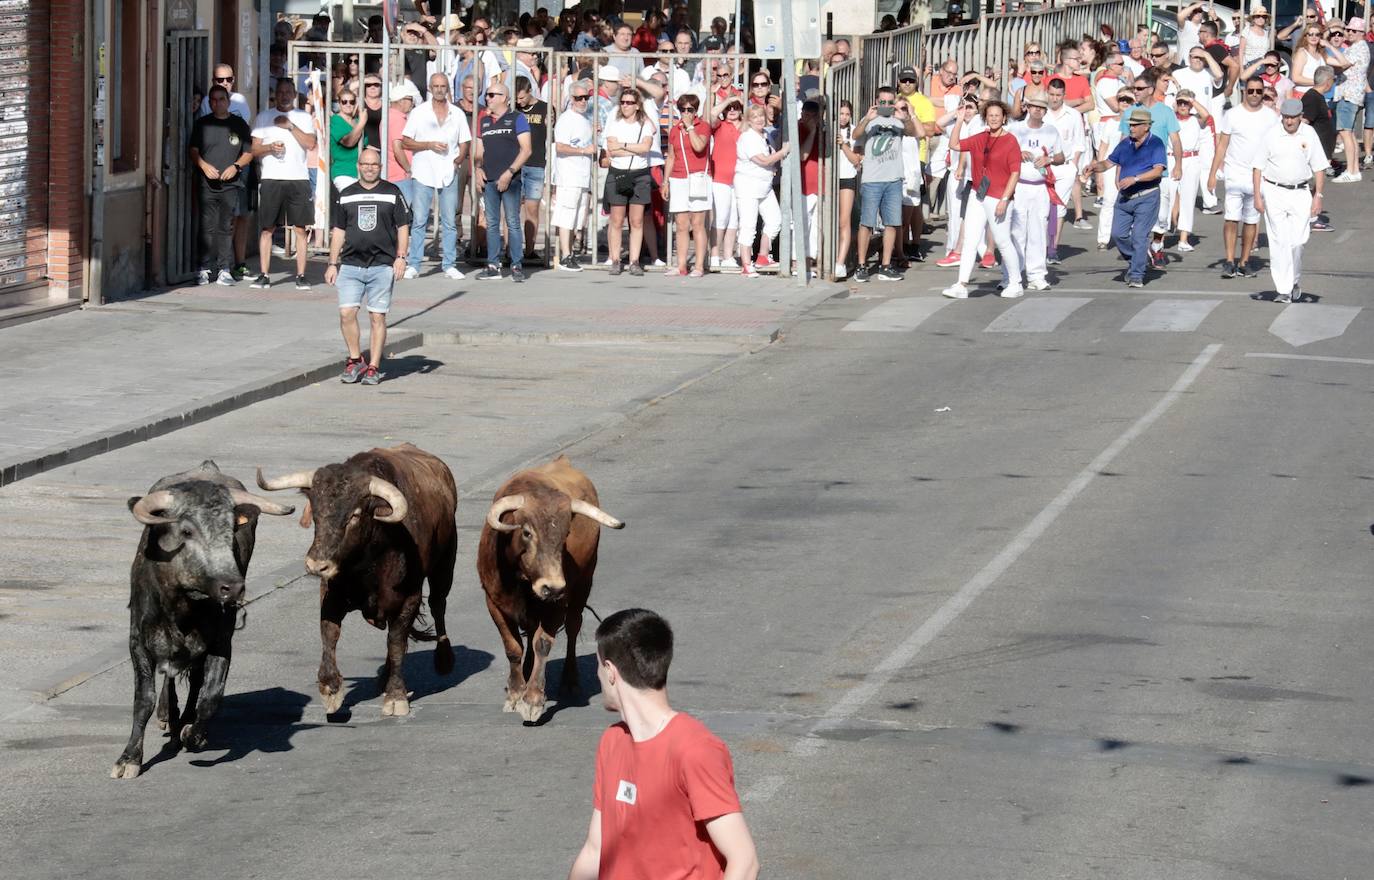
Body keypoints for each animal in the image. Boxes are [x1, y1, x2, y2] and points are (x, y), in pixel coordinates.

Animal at [259, 442, 464, 720]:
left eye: (354, 515)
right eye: (316, 512)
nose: (316, 564)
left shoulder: (409, 598)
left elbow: (396, 643)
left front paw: (396, 696)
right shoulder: (331, 593)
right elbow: (329, 634)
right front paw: (331, 689)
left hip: (445, 564)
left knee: (437, 605)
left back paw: (443, 659)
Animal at [475, 453, 621, 720]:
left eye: (565, 535)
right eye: (526, 532)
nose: (551, 587)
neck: (521, 580)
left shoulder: (556, 604)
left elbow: (542, 644)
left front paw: (532, 699)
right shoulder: (493, 602)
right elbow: (513, 647)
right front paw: (515, 693)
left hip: (583, 584)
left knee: (572, 627)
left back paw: (570, 681)